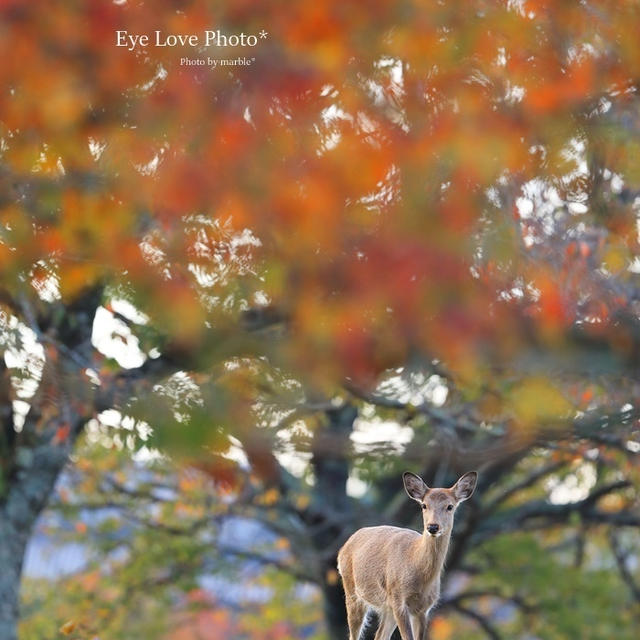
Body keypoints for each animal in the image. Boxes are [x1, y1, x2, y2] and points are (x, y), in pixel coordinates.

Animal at [338, 470, 478, 640]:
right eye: (424, 505)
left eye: (450, 506)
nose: (432, 526)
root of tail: (343, 547)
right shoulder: (399, 599)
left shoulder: (423, 609)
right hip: (352, 592)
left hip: (387, 607)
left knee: (380, 635)